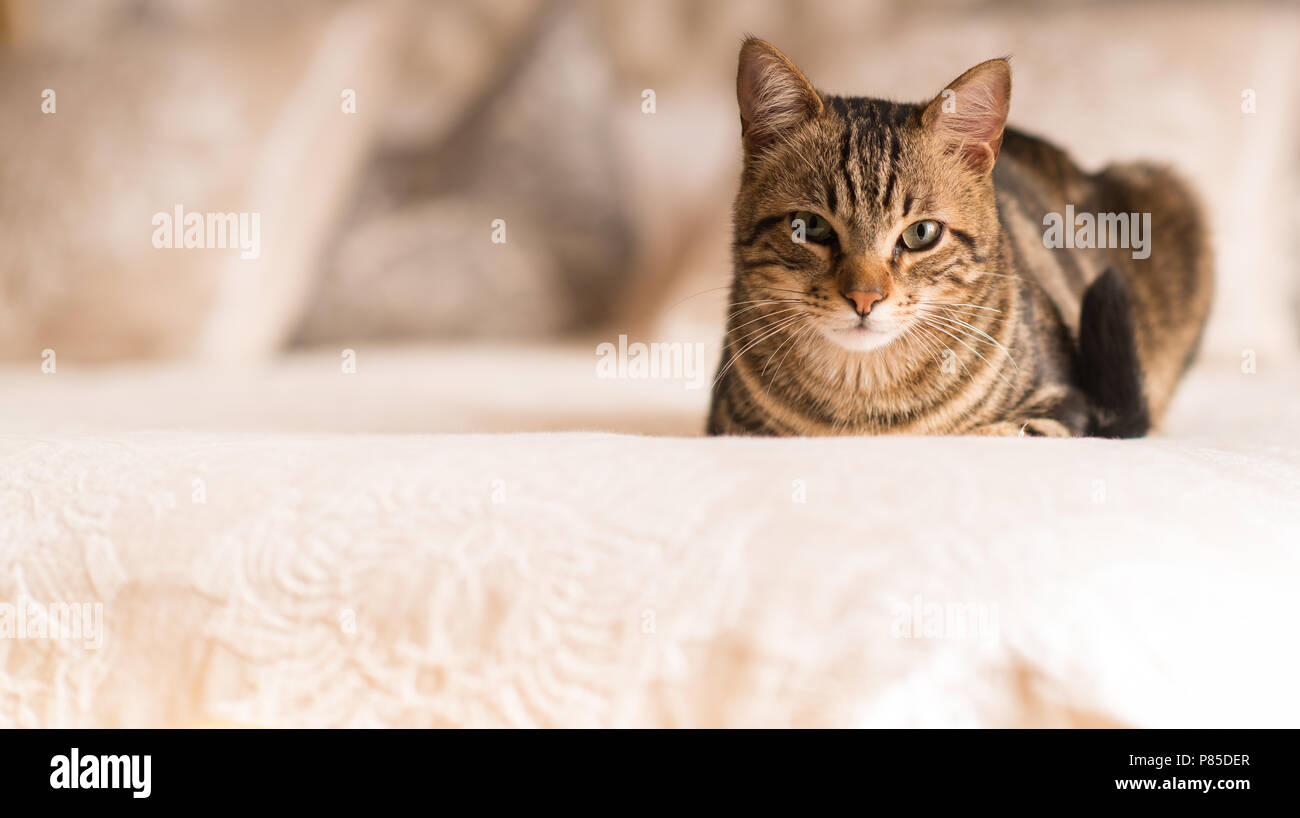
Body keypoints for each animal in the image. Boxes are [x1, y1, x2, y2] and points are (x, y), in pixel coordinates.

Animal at [707, 38, 1211, 436]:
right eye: (810, 226)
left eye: (921, 233)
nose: (864, 298)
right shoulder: (729, 425)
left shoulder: (1066, 404)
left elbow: (997, 432)